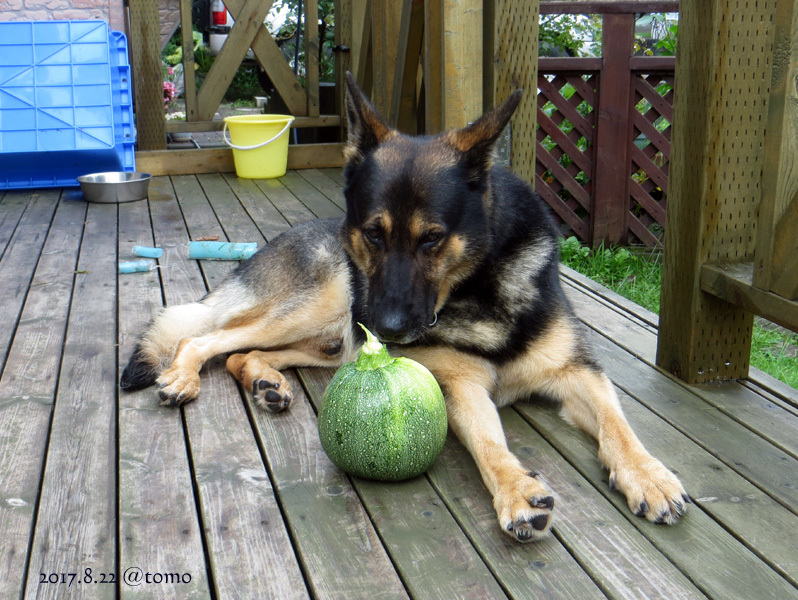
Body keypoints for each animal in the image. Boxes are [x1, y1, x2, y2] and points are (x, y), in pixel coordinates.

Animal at [120, 72, 688, 540]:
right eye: (373, 234)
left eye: (432, 239)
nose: (387, 330)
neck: (480, 285)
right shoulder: (460, 386)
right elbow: (490, 444)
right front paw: (516, 488)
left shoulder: (580, 372)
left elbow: (619, 426)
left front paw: (648, 475)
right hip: (317, 306)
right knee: (203, 336)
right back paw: (184, 376)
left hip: (332, 344)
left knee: (244, 353)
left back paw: (267, 382)